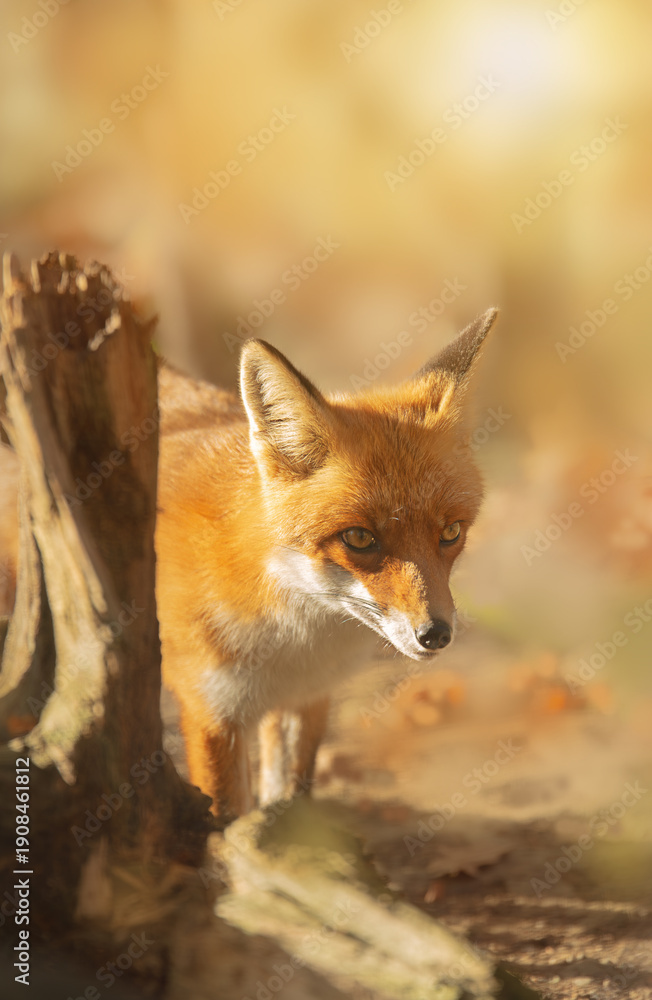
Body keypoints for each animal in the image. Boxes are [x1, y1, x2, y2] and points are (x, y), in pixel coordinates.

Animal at [155, 308, 498, 822]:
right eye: (359, 538)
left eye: (451, 533)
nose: (436, 634)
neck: (293, 641)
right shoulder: (211, 711)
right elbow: (228, 819)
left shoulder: (307, 699)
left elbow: (290, 804)